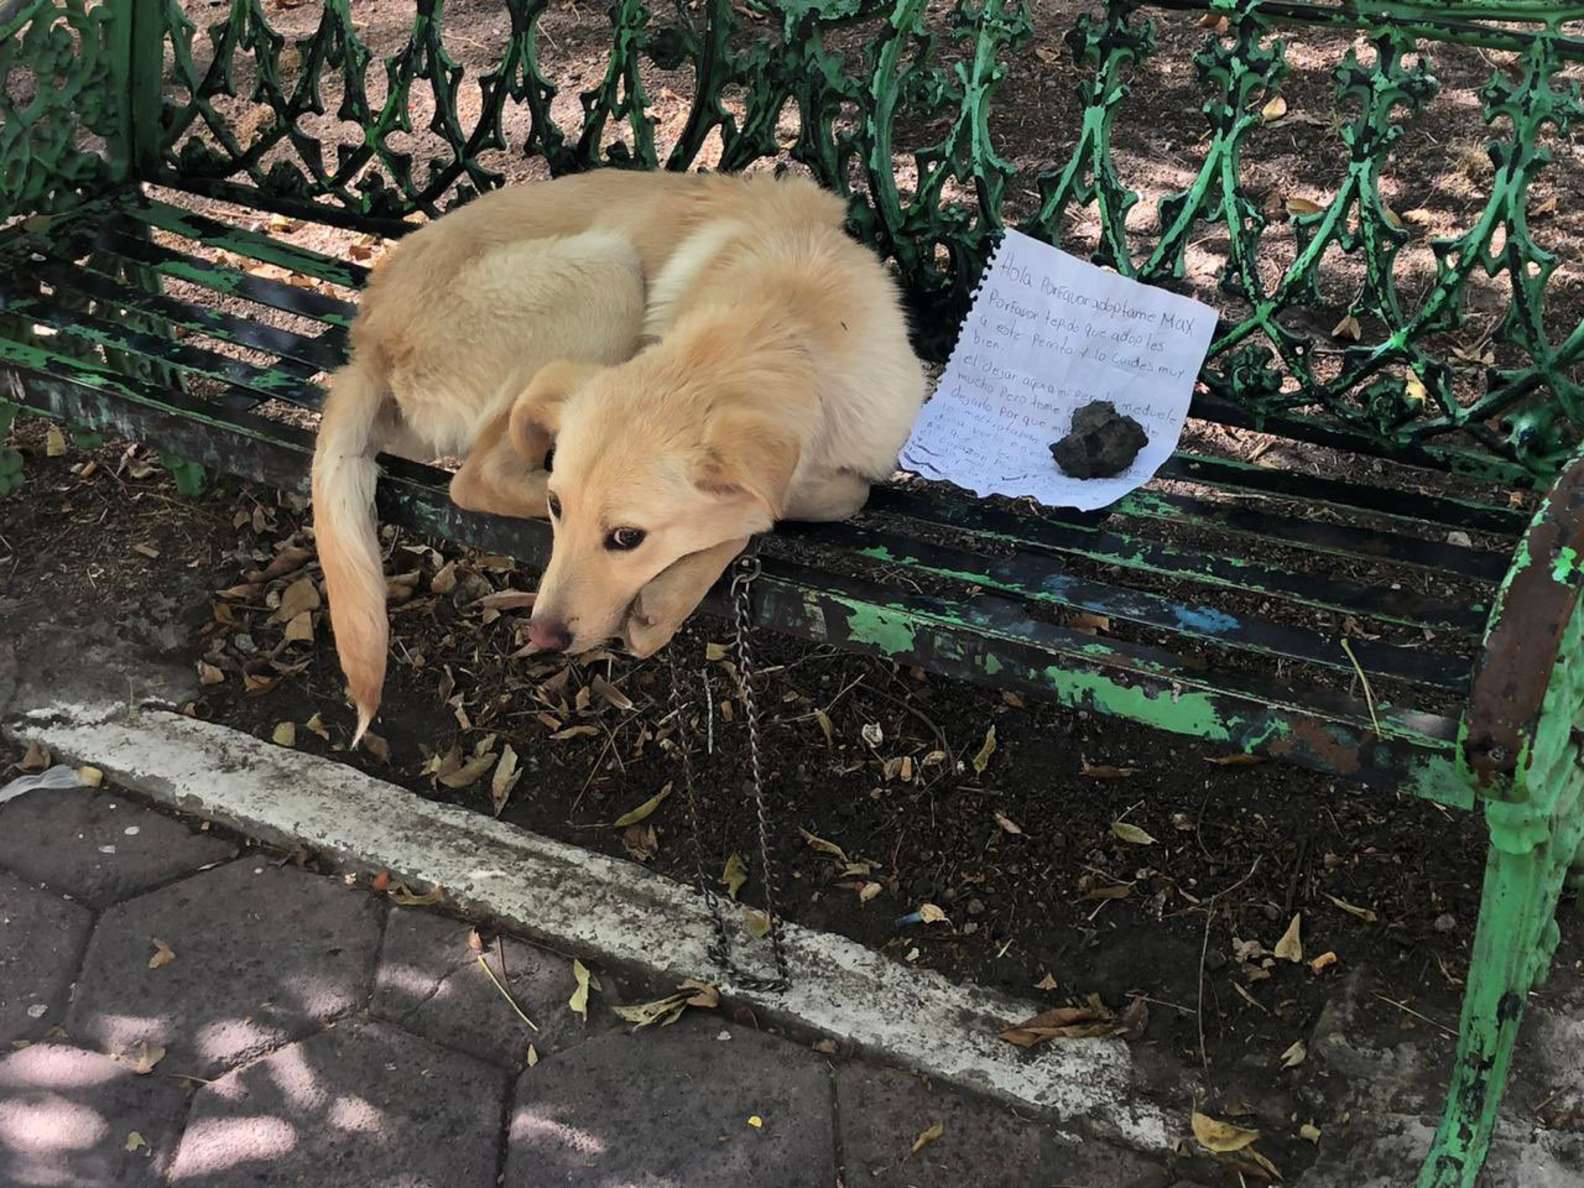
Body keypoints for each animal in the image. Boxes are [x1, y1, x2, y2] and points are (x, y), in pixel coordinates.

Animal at [313, 171, 925, 741]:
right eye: (559, 508)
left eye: (628, 537)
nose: (542, 636)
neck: (783, 325)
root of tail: (370, 336)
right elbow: (785, 506)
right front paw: (676, 591)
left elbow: (822, 495)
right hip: (607, 272)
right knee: (475, 478)